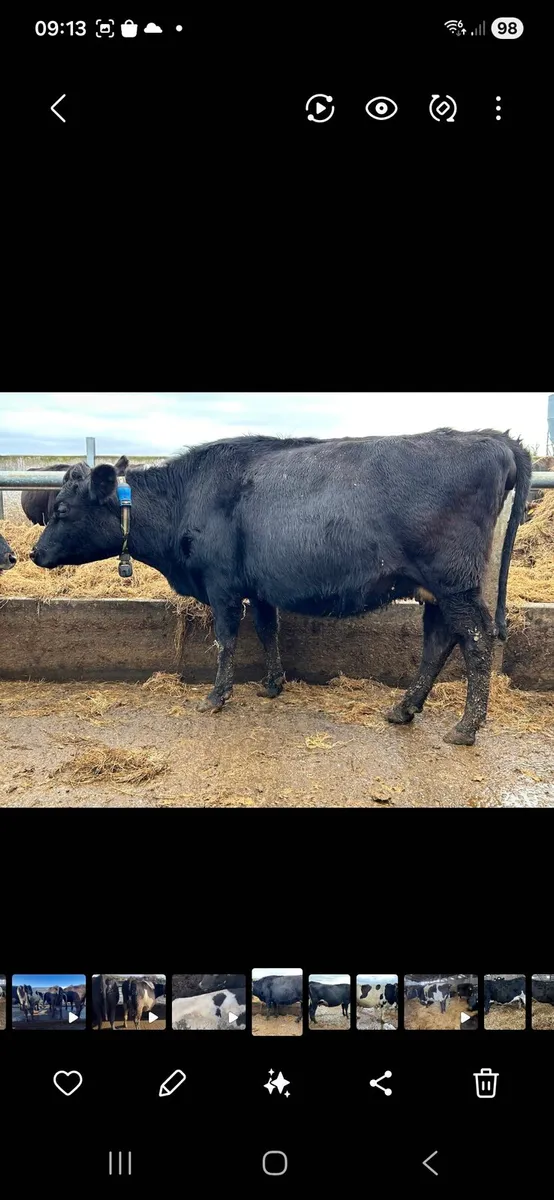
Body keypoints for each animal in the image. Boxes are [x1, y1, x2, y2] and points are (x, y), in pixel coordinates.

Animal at [29, 429, 532, 746]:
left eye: (62, 510)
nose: (35, 553)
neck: (185, 497)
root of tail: (493, 439)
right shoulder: (258, 587)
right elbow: (267, 631)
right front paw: (272, 685)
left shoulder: (222, 585)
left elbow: (227, 640)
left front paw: (216, 697)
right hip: (436, 590)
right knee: (438, 643)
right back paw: (403, 709)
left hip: (455, 584)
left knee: (476, 642)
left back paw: (466, 728)